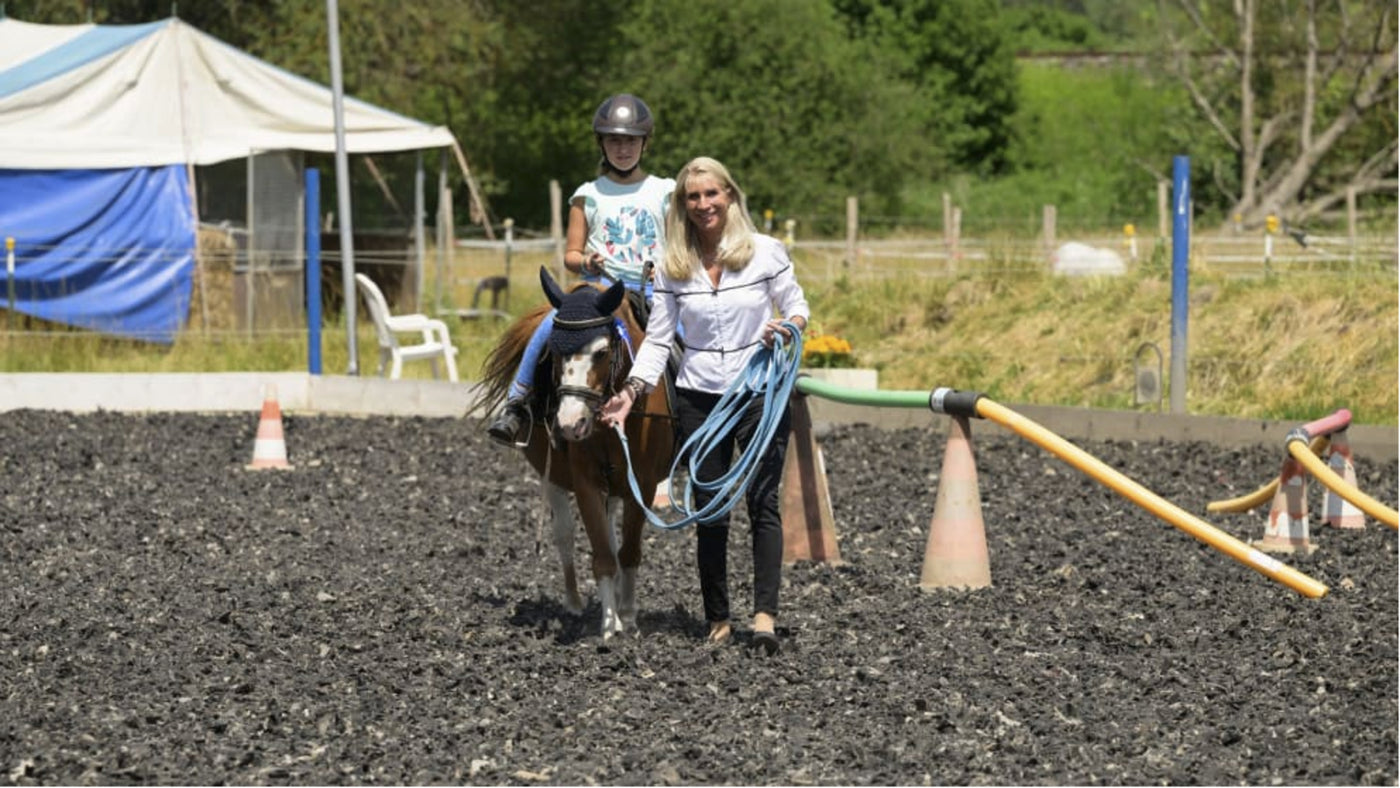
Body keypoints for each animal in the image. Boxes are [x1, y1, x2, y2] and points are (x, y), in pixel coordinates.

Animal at [478, 268, 674, 638]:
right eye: (552, 350)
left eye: (601, 351)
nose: (570, 423)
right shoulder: (585, 483)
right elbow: (601, 554)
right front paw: (609, 624)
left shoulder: (642, 484)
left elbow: (628, 551)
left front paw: (628, 615)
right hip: (554, 478)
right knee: (565, 537)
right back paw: (573, 602)